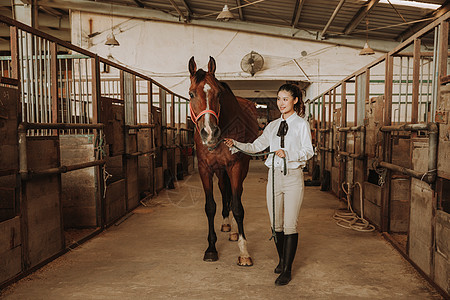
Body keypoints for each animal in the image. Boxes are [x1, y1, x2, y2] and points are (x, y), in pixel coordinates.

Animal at [188, 55, 258, 264]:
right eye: (191, 94)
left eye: (219, 94)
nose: (210, 132)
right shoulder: (205, 169)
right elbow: (210, 206)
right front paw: (211, 248)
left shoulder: (235, 166)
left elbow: (238, 206)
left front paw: (243, 251)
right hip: (220, 170)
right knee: (224, 190)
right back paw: (227, 224)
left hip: (240, 168)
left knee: (236, 194)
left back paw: (234, 230)